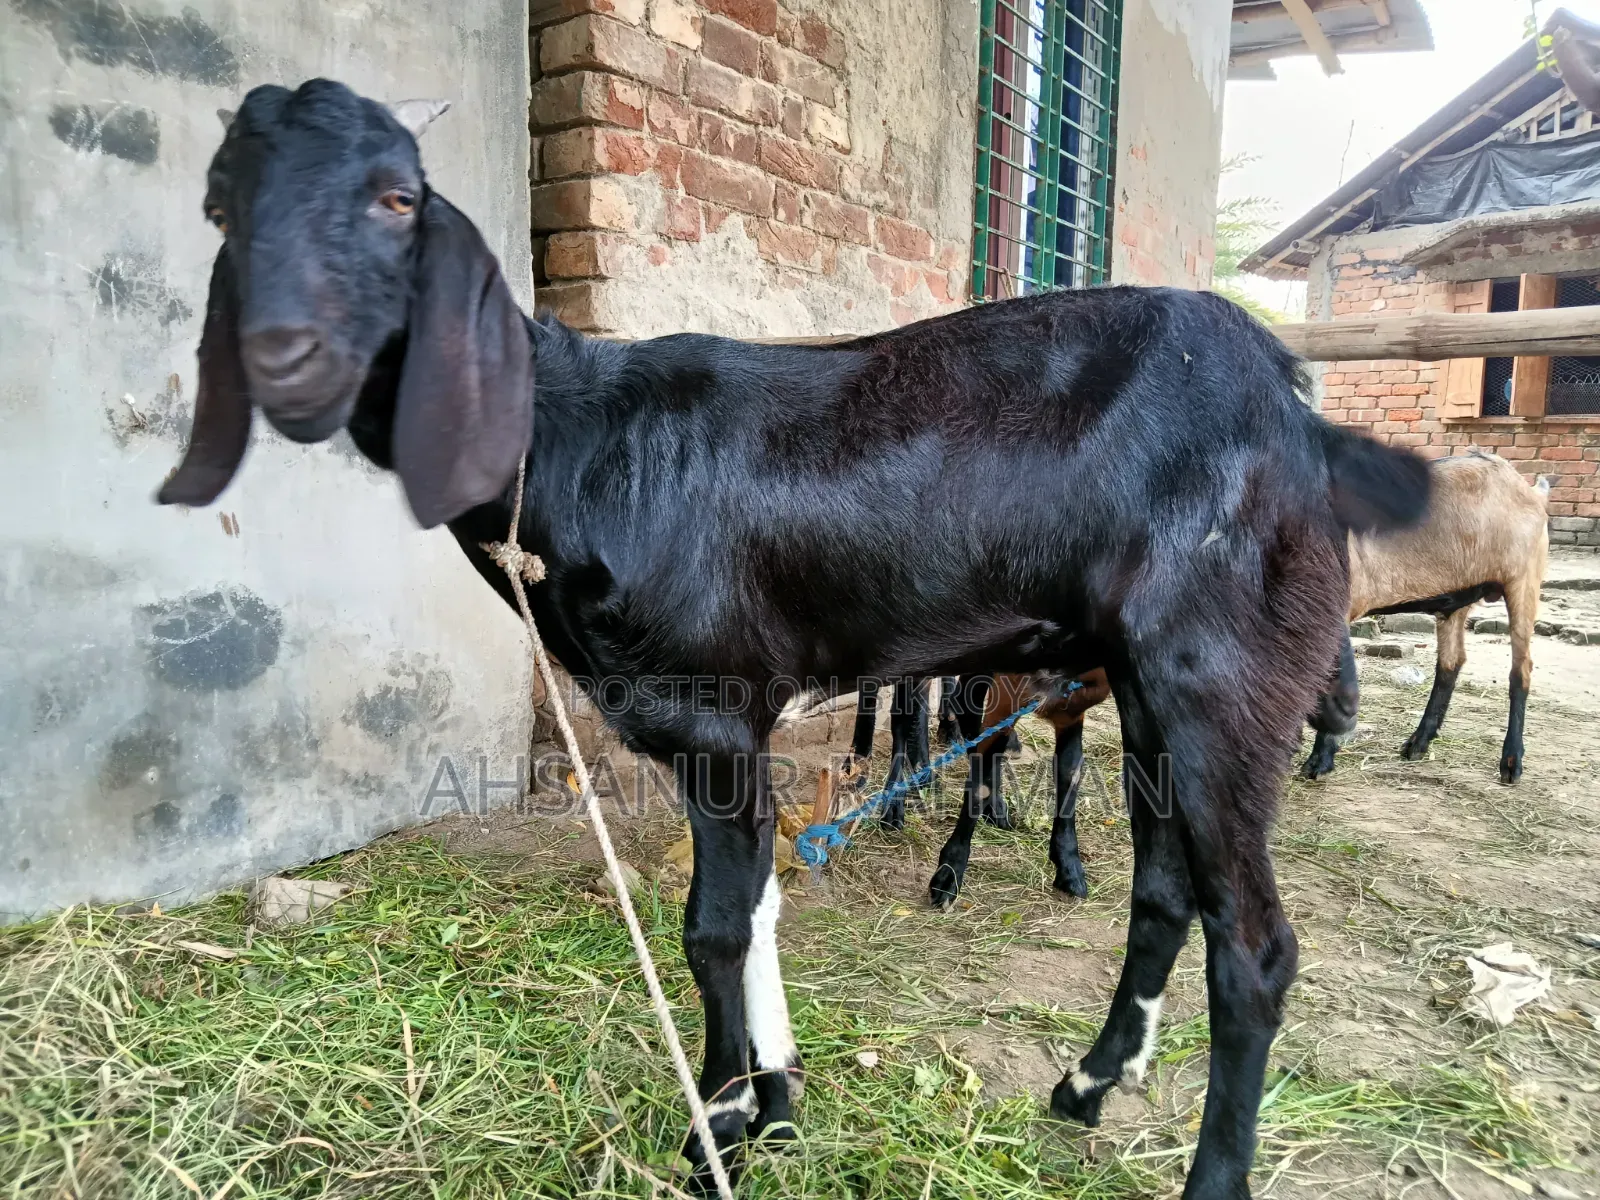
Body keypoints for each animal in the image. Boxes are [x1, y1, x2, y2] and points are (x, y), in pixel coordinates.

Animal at [157, 80, 1429, 1199]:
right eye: (217, 206)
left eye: (397, 198)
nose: (284, 354)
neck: (576, 443)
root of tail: (1292, 400)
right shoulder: (722, 732)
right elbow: (761, 907)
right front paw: (774, 1099)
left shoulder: (715, 710)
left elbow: (714, 927)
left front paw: (716, 1124)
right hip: (1146, 682)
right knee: (1166, 894)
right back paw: (1083, 1085)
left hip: (1221, 670)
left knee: (1254, 947)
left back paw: (1205, 1168)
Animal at [1302, 452, 1548, 785]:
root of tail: (1530, 490)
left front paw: (1319, 759)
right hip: (1459, 596)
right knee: (1451, 662)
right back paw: (1418, 742)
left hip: (1524, 580)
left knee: (1520, 668)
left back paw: (1511, 761)